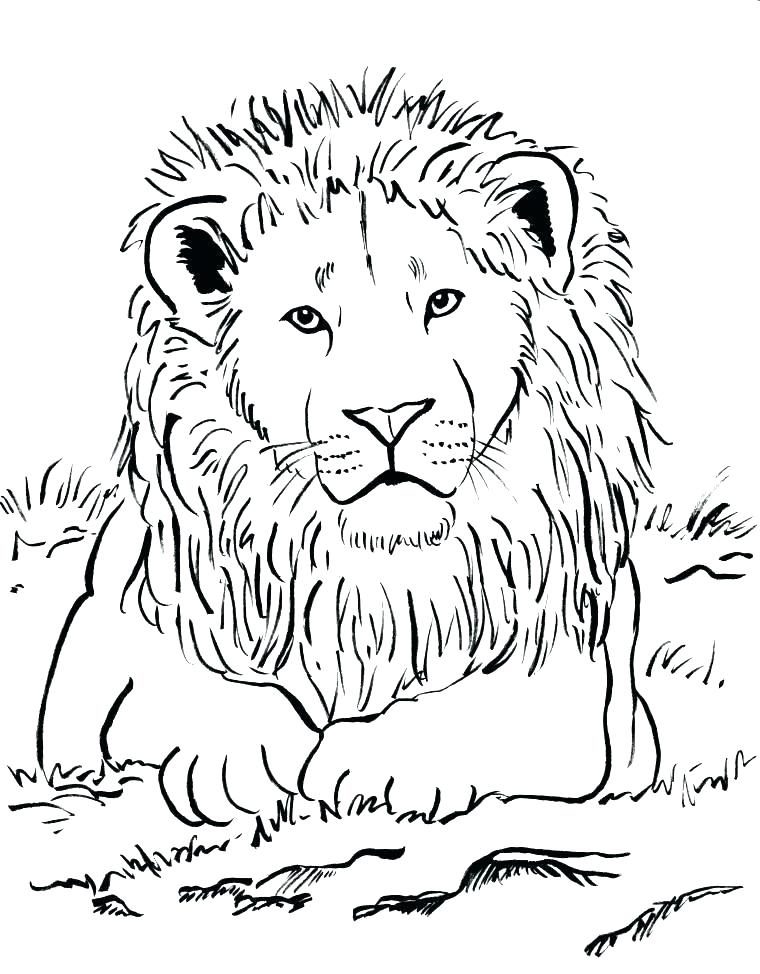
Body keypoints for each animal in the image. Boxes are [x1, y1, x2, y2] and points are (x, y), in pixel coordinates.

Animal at [38, 70, 660, 826]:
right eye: (306, 319)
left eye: (442, 301)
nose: (389, 414)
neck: (379, 570)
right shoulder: (122, 622)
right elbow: (188, 682)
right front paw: (239, 757)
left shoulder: (571, 666)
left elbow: (481, 701)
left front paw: (378, 763)